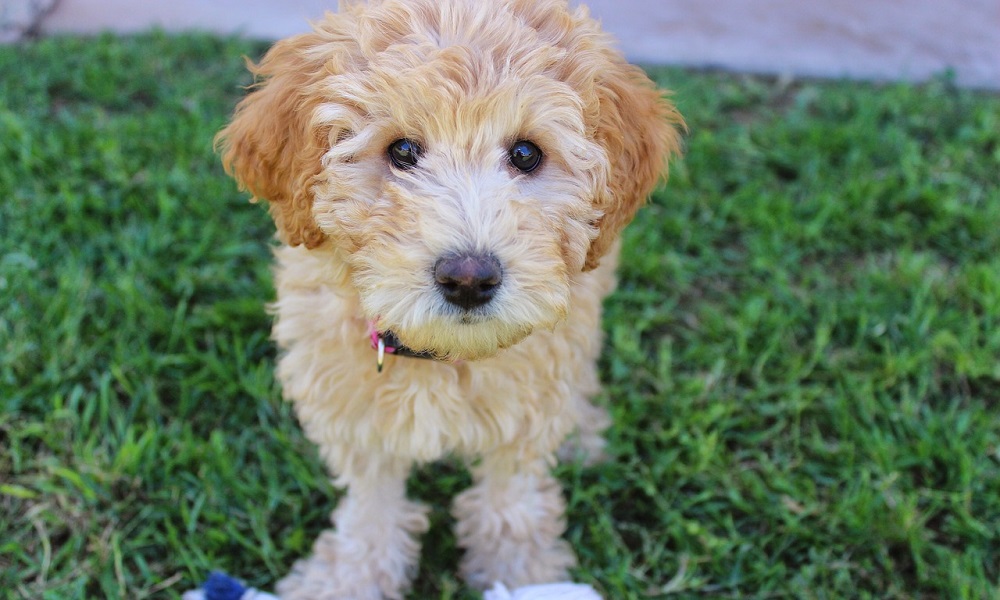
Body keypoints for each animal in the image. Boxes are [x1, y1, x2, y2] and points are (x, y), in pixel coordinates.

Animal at [218, 0, 684, 596]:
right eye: (402, 150)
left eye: (526, 153)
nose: (468, 279)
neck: (441, 355)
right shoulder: (352, 407)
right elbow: (371, 506)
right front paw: (350, 577)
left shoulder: (526, 406)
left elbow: (509, 499)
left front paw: (520, 573)